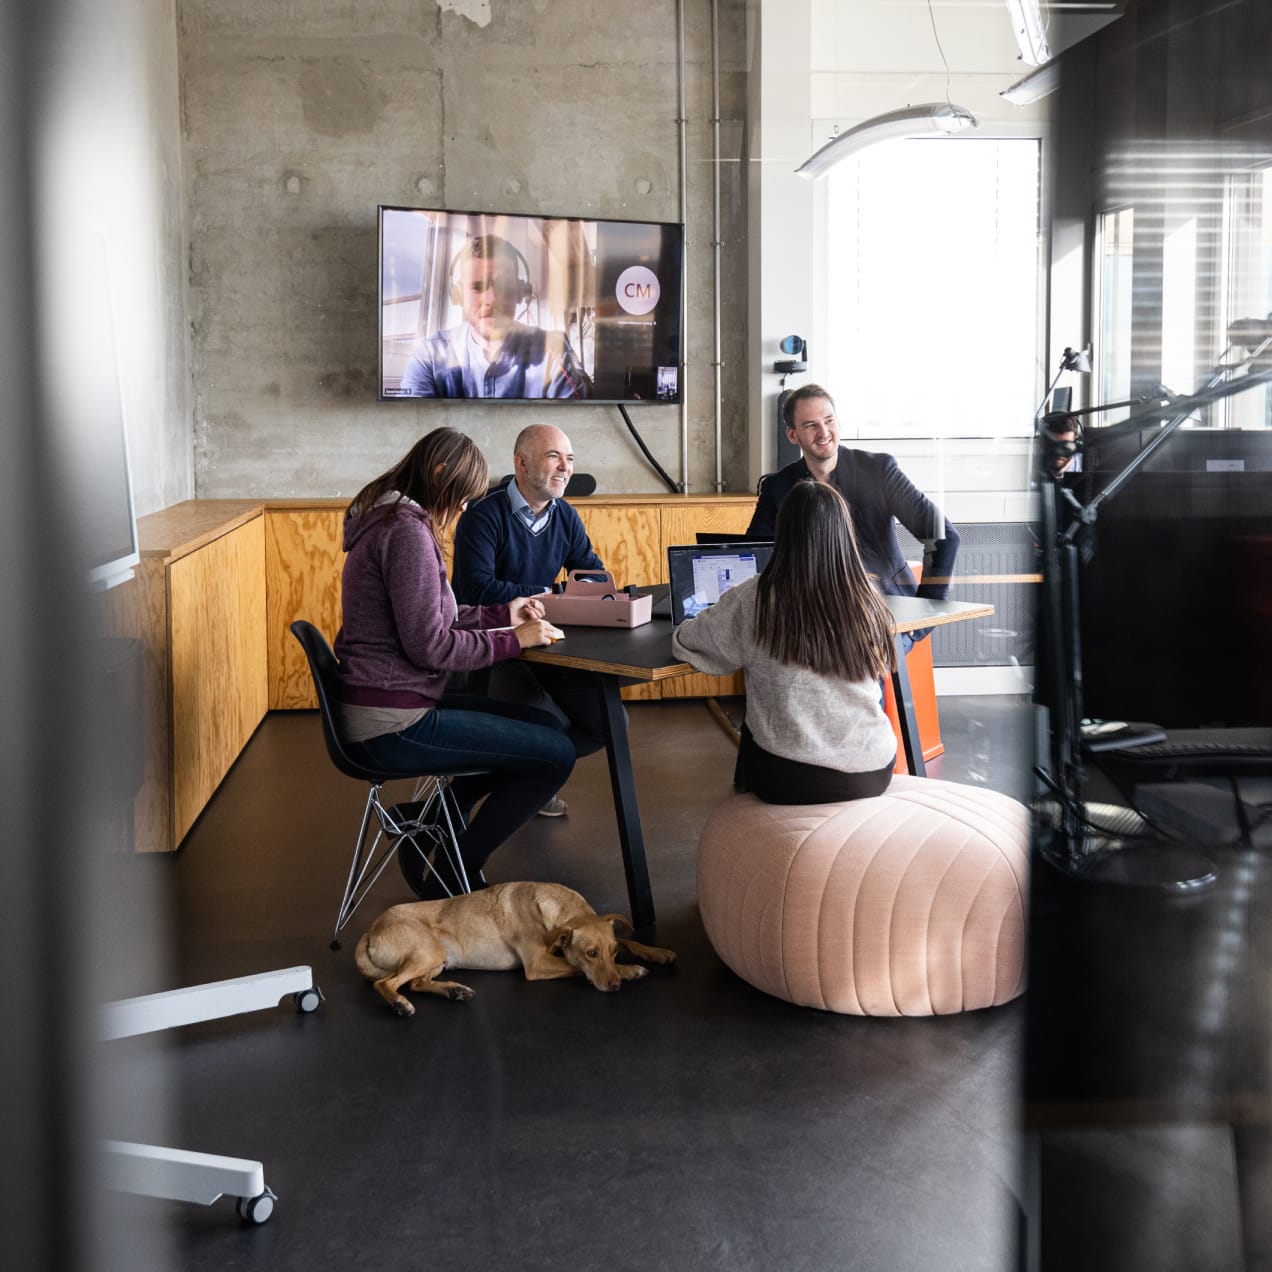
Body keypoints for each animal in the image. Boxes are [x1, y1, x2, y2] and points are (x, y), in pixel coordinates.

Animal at [353, 880, 676, 1017]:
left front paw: (657, 952)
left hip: (437, 958)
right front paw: (631, 970)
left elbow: (628, 940)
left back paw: (454, 990)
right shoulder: (536, 964)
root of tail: (370, 930)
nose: (615, 985)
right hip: (428, 951)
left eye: (611, 951)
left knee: (417, 983)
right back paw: (399, 1003)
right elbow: (576, 968)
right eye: (591, 953)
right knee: (387, 983)